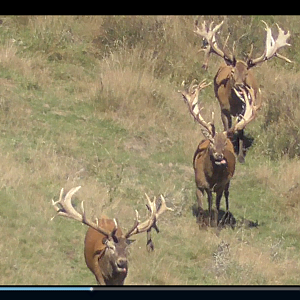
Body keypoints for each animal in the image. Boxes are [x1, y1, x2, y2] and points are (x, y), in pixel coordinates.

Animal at [179, 79, 258, 225]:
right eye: (211, 141)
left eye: (225, 143)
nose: (219, 155)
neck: (211, 177)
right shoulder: (198, 183)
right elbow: (200, 207)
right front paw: (201, 223)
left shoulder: (220, 185)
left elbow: (217, 207)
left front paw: (214, 224)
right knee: (209, 198)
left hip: (227, 182)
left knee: (226, 195)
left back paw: (226, 215)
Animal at [195, 19, 290, 163]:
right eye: (233, 71)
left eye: (246, 73)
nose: (239, 85)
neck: (233, 103)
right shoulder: (224, 108)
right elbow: (227, 128)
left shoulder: (245, 109)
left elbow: (240, 131)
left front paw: (240, 156)